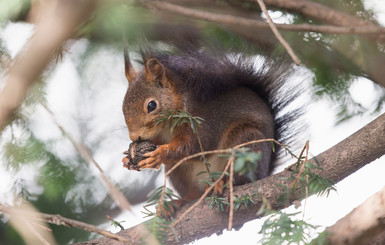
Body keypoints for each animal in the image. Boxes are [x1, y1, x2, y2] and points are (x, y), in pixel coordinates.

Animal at [120, 43, 296, 202]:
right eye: (123, 107)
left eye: (152, 105)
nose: (134, 137)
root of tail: (264, 173)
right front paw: (127, 158)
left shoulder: (204, 123)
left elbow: (196, 147)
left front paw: (159, 154)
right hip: (178, 171)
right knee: (193, 193)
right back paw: (177, 203)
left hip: (245, 143)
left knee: (238, 178)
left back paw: (221, 183)